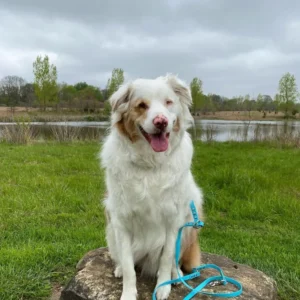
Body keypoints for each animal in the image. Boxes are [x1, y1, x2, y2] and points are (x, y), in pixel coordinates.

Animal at [101, 74, 204, 300]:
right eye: (141, 105)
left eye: (168, 102)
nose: (161, 122)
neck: (150, 164)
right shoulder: (121, 221)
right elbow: (129, 265)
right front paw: (128, 293)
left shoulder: (173, 219)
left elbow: (166, 258)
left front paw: (163, 286)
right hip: (111, 230)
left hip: (189, 225)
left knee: (175, 260)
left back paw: (177, 275)